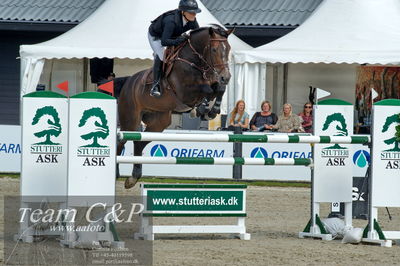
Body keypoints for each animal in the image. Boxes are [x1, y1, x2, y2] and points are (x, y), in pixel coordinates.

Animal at [117, 24, 233, 187]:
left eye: (228, 49)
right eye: (214, 49)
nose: (226, 77)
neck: (195, 61)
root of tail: (128, 81)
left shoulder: (212, 82)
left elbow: (219, 89)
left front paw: (211, 110)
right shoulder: (186, 92)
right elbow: (207, 89)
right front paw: (203, 108)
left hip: (159, 122)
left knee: (139, 144)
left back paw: (133, 178)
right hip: (130, 120)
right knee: (121, 142)